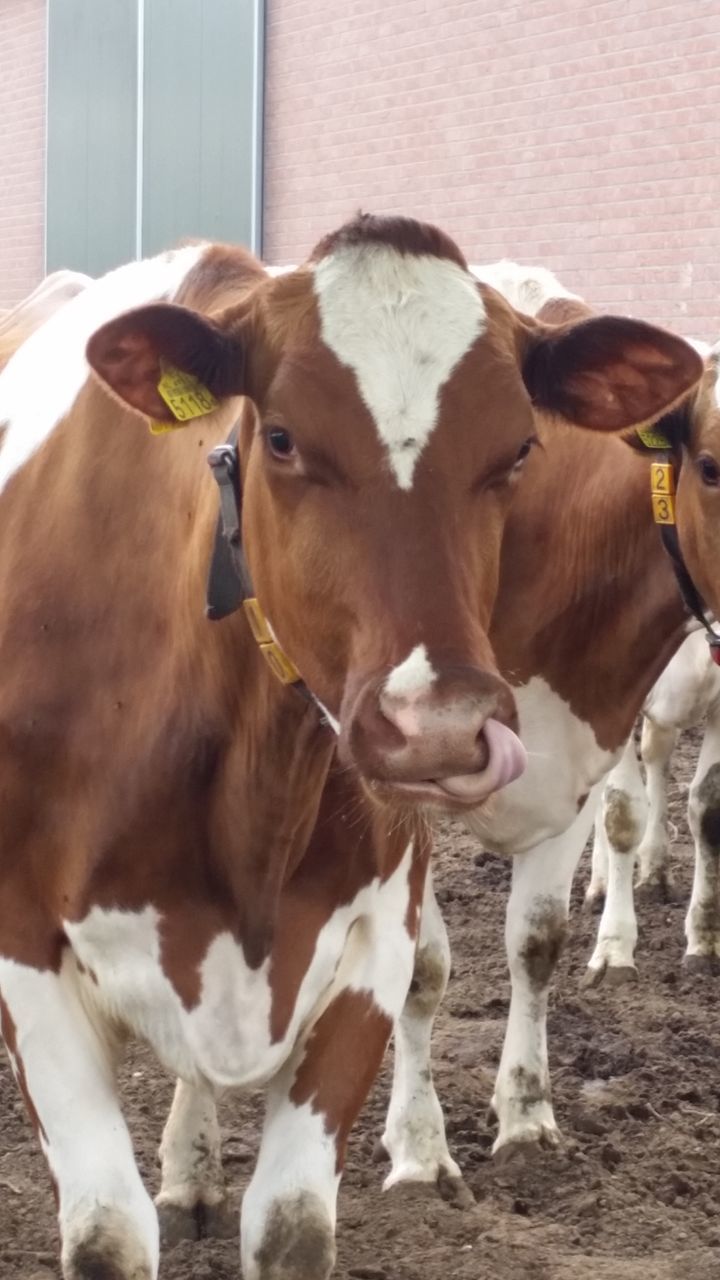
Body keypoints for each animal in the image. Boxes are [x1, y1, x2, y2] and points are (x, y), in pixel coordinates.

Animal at [0, 220, 696, 1280]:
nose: (438, 723)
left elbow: (296, 1226)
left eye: (520, 448)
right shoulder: (28, 959)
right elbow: (109, 1239)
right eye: (282, 437)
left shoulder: (380, 924)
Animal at [586, 624, 717, 972]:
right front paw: (614, 947)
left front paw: (704, 940)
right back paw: (601, 883)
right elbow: (622, 813)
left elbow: (708, 808)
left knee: (656, 751)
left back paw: (654, 872)